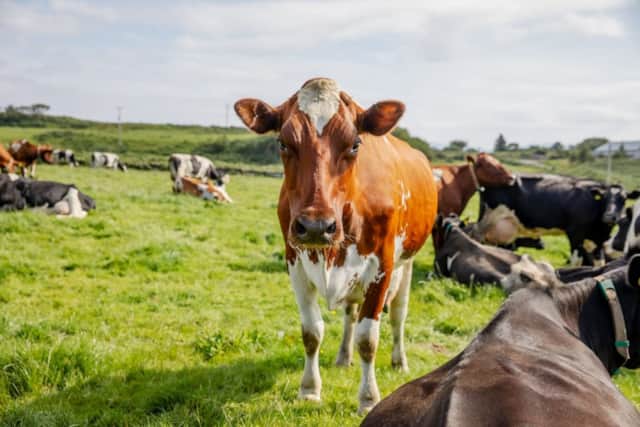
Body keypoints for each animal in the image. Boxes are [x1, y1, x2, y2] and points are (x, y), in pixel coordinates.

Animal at [234, 78, 438, 414]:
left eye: (355, 144)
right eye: (283, 143)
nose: (316, 226)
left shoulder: (382, 266)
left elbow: (368, 339)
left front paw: (368, 399)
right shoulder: (295, 263)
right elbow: (312, 332)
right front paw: (309, 389)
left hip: (406, 264)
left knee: (398, 314)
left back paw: (399, 361)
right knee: (350, 314)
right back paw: (343, 357)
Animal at [480, 174, 640, 266]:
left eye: (624, 199)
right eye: (604, 198)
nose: (609, 216)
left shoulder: (597, 240)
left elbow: (599, 263)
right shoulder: (575, 233)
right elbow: (576, 262)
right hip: (487, 220)